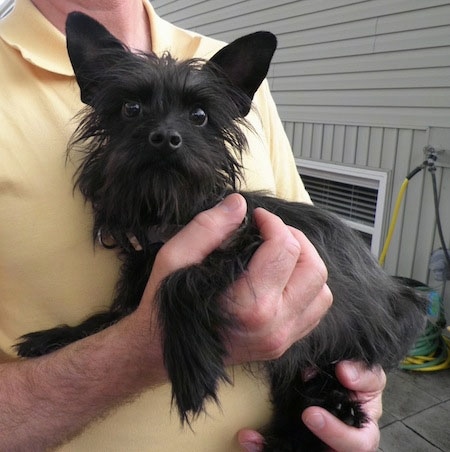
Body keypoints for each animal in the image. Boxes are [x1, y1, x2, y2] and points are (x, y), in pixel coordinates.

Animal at [16, 12, 426, 450]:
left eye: (199, 115)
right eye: (130, 108)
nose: (165, 137)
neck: (171, 213)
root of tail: (398, 290)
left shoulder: (255, 243)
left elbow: (179, 280)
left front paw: (190, 370)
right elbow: (108, 318)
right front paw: (58, 337)